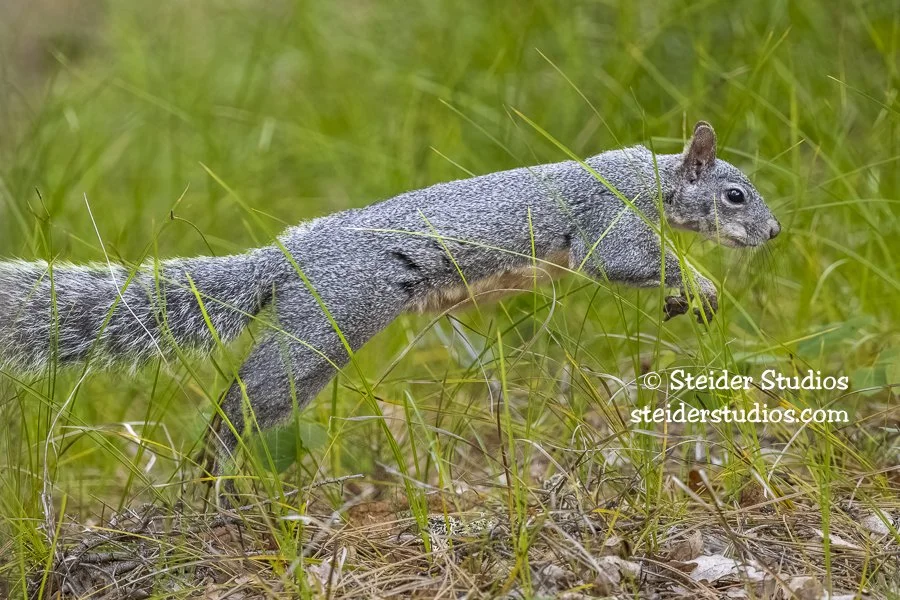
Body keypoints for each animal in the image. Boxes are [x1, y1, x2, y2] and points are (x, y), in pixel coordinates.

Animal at [0, 121, 780, 475]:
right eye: (735, 195)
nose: (774, 231)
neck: (650, 178)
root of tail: (286, 255)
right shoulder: (603, 218)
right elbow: (624, 260)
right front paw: (701, 285)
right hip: (328, 324)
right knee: (245, 402)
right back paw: (214, 474)